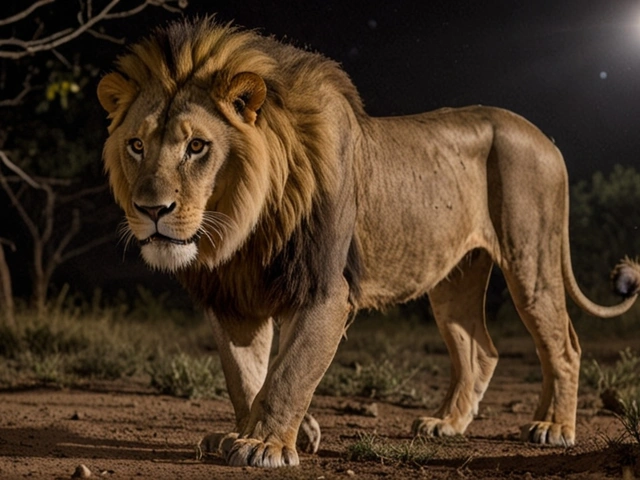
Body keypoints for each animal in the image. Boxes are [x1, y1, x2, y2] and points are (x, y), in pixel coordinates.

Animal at [96, 17, 640, 464]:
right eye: (136, 145)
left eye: (197, 146)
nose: (151, 210)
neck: (242, 226)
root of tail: (546, 138)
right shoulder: (234, 296)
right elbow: (245, 376)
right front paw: (261, 432)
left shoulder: (326, 286)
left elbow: (291, 371)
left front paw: (264, 445)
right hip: (454, 278)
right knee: (479, 348)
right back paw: (446, 424)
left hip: (531, 257)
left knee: (564, 344)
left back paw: (553, 427)